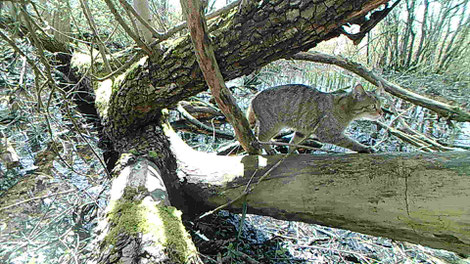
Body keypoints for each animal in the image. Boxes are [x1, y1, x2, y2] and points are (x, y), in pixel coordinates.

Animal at [246, 83, 382, 154]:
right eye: (373, 106)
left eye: (381, 105)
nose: (381, 113)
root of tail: (254, 97)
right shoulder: (328, 133)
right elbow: (350, 142)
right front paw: (364, 148)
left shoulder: (303, 130)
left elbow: (293, 143)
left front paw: (292, 152)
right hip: (272, 124)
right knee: (260, 137)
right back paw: (269, 149)